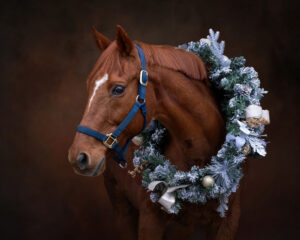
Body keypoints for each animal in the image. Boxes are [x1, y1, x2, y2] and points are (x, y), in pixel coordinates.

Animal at [68, 25, 241, 239]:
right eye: (89, 85)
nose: (79, 156)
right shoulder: (150, 220)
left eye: (118, 89)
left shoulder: (227, 222)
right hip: (122, 208)